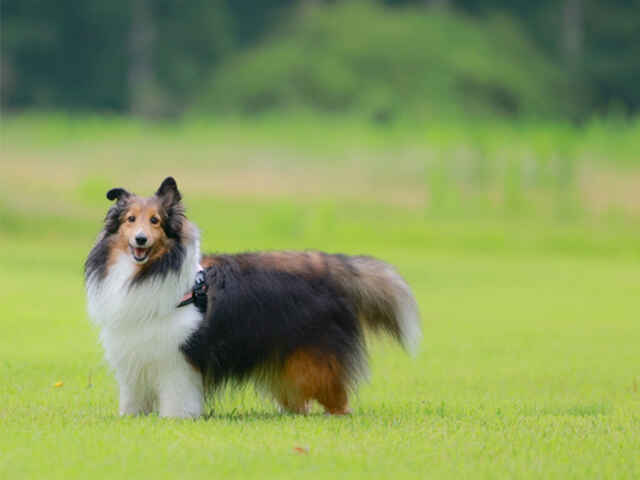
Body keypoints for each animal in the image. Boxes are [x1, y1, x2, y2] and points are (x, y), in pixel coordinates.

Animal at [85, 176, 422, 416]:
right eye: (130, 220)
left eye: (155, 221)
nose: (140, 240)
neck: (146, 272)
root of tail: (332, 266)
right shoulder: (135, 355)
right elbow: (133, 400)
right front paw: (132, 417)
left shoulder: (177, 359)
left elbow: (176, 399)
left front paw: (174, 419)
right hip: (289, 367)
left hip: (314, 364)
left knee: (338, 400)